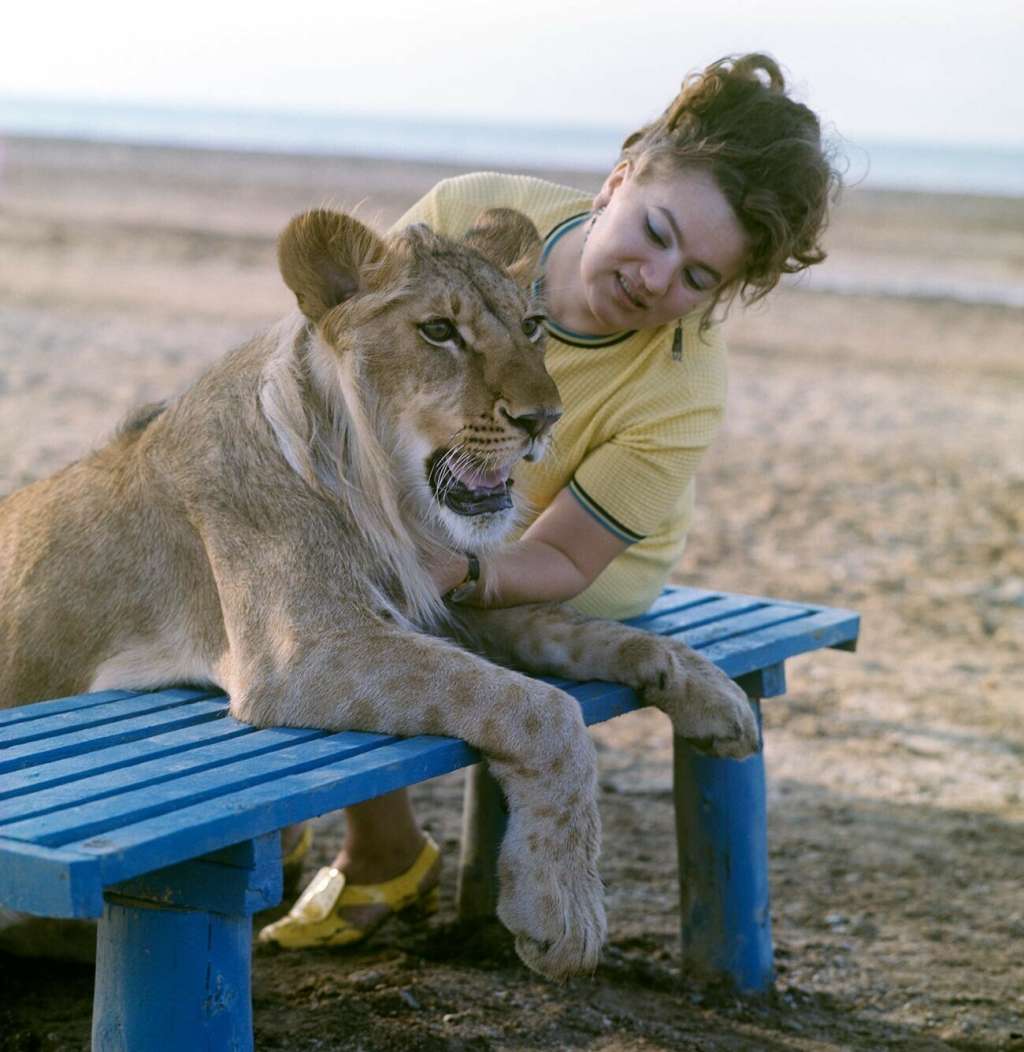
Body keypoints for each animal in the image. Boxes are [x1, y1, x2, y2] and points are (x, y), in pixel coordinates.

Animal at [1, 203, 757, 976]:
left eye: (532, 326)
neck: (381, 494)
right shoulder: (301, 652)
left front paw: (714, 694)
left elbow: (586, 632)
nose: (543, 420)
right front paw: (563, 908)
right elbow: (539, 706)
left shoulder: (440, 598)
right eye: (439, 331)